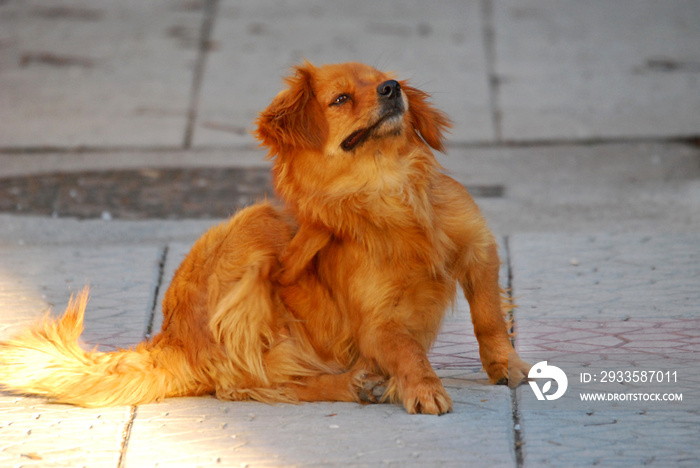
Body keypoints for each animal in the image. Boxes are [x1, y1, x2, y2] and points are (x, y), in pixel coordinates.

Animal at [0, 61, 528, 414]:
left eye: (383, 77)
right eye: (341, 99)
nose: (392, 87)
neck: (390, 188)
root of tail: (171, 338)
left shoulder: (480, 252)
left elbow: (488, 318)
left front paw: (507, 366)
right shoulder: (377, 324)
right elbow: (407, 349)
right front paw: (423, 386)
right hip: (255, 230)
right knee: (256, 383)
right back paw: (352, 384)